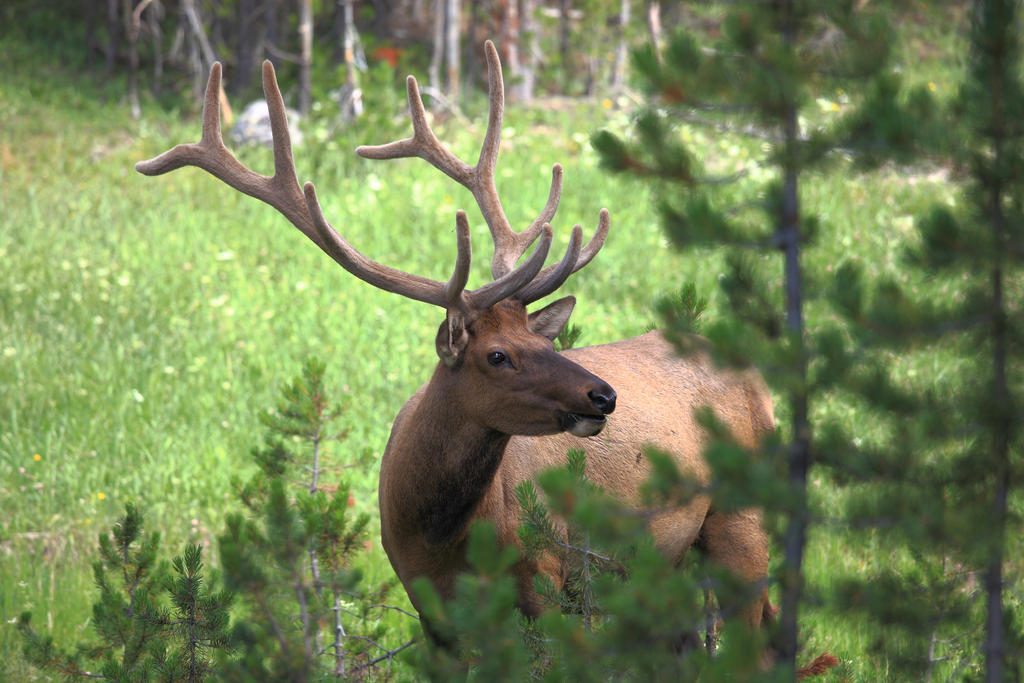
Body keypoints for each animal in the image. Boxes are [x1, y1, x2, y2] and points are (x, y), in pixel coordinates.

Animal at [140, 40, 782, 659]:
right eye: (497, 355)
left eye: (539, 337)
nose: (603, 396)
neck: (443, 537)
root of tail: (760, 379)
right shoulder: (431, 611)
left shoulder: (547, 585)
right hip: (665, 565)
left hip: (741, 524)